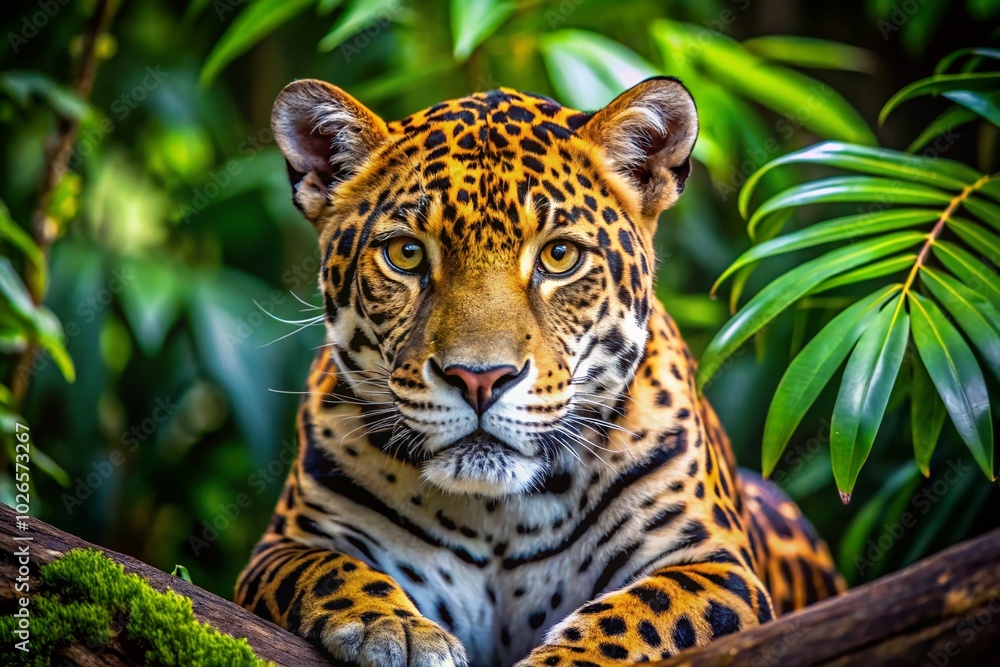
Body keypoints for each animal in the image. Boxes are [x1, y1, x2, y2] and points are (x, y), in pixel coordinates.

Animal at [235, 76, 844, 667]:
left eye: (558, 256)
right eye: (406, 254)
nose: (479, 379)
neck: (497, 516)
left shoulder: (717, 567)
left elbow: (633, 615)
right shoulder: (285, 545)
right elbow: (326, 570)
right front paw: (396, 629)